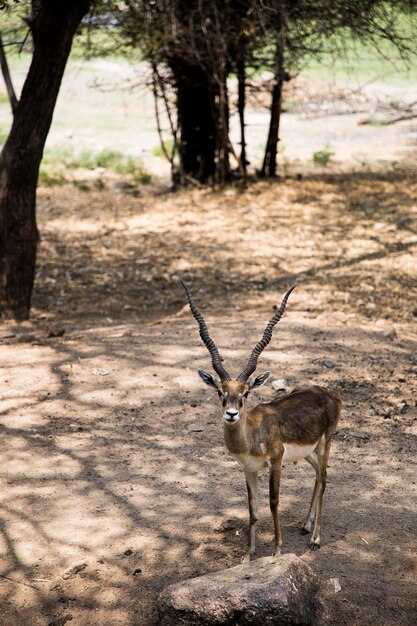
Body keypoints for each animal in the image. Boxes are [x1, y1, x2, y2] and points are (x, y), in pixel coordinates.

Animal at [181, 280, 342, 560]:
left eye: (245, 393)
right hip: (307, 452)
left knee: (323, 480)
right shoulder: (249, 469)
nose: (231, 414)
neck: (252, 437)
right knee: (317, 476)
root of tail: (329, 393)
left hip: (326, 443)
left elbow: (273, 502)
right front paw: (248, 555)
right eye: (221, 392)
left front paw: (276, 551)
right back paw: (305, 525)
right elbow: (252, 507)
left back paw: (315, 538)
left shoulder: (275, 462)